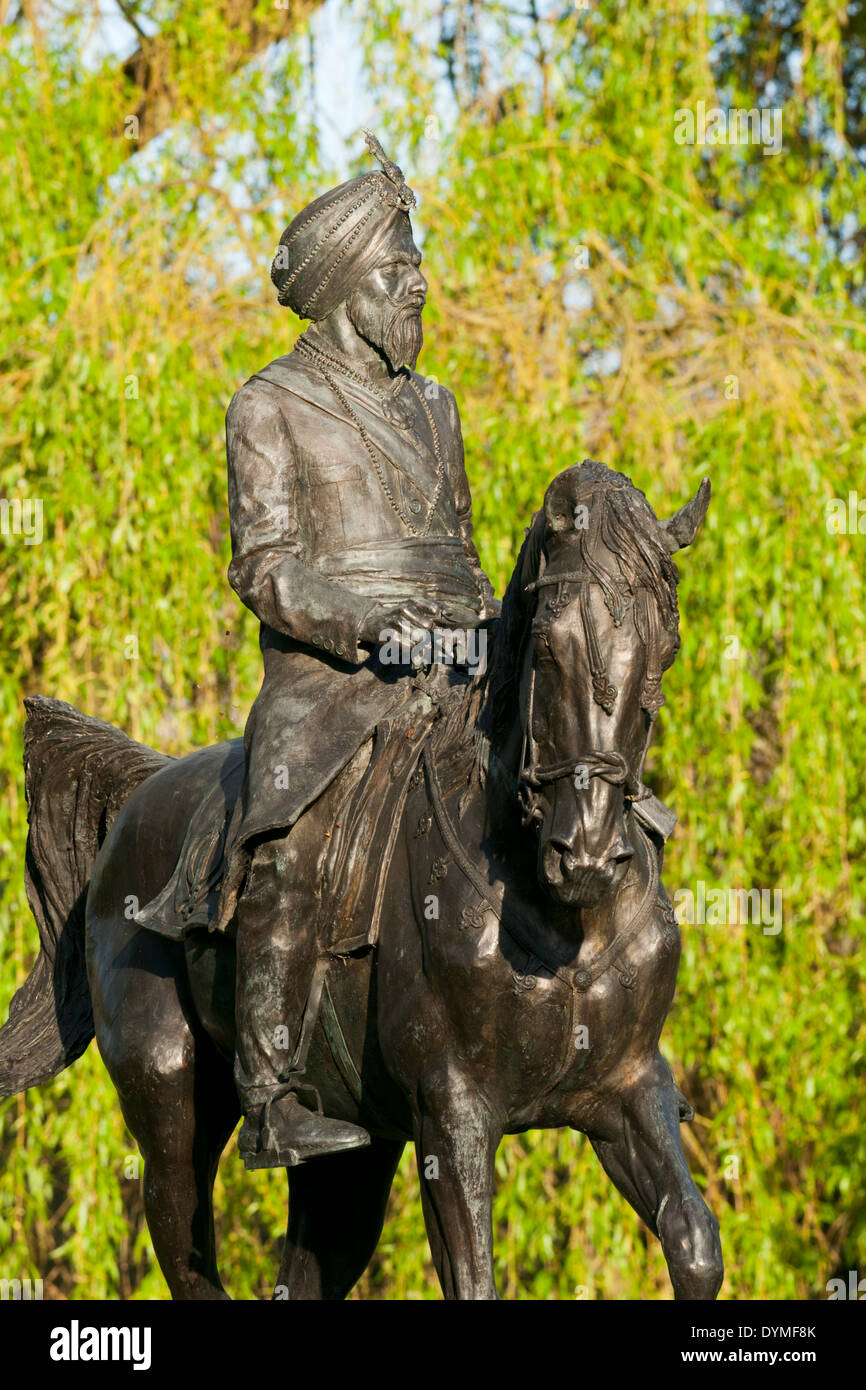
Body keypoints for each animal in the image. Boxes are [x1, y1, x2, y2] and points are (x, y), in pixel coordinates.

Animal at [0, 461, 722, 1295]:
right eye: (547, 644)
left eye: (665, 647)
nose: (590, 854)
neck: (562, 923)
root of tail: (142, 789)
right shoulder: (454, 1112)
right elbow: (474, 1276)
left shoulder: (628, 1088)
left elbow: (695, 1244)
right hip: (170, 1104)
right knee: (185, 1244)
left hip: (352, 1156)